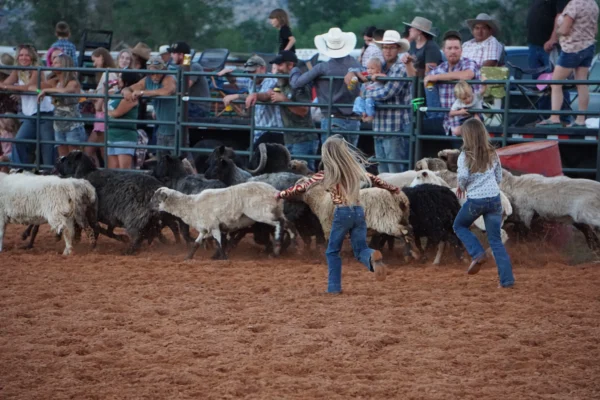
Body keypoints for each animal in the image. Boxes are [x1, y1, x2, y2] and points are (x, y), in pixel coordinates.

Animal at [151, 181, 296, 260]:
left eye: (156, 197)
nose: (149, 207)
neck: (191, 205)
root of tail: (276, 192)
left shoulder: (214, 226)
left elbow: (219, 242)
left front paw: (223, 258)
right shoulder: (205, 228)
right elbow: (196, 244)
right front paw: (188, 257)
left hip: (261, 213)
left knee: (279, 223)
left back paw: (278, 244)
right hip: (276, 211)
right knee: (287, 223)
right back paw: (289, 242)